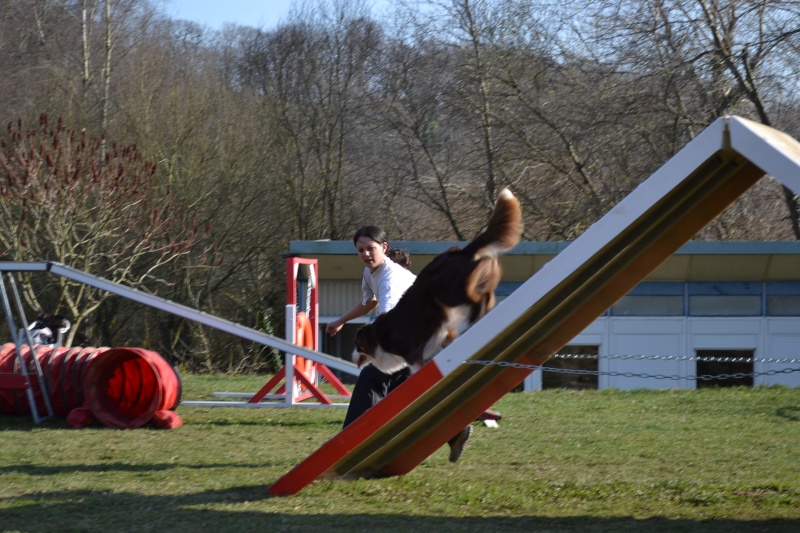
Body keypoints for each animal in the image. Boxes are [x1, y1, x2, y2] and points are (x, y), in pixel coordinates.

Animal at [354, 189, 520, 372]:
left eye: (357, 345)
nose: (352, 356)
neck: (377, 337)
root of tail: (461, 251)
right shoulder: (442, 336)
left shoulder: (412, 355)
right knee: (487, 295)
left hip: (444, 291)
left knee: (477, 299)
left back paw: (470, 321)